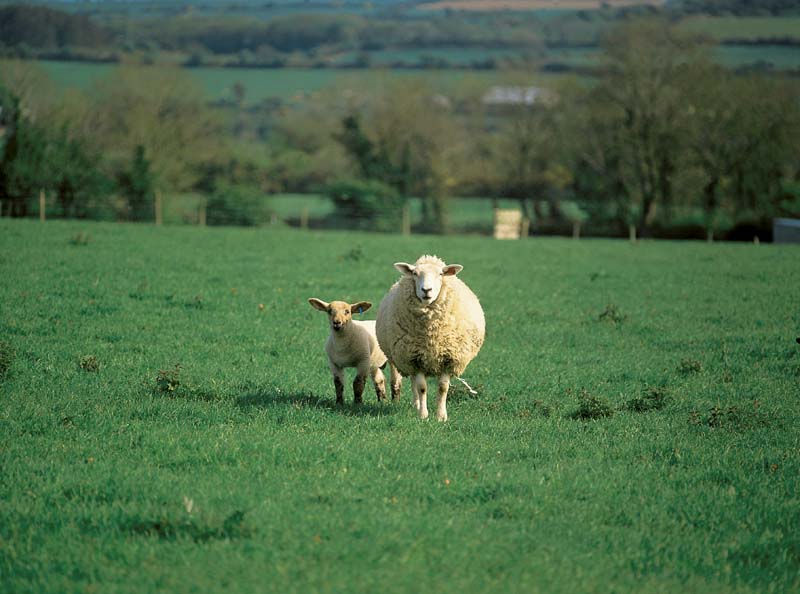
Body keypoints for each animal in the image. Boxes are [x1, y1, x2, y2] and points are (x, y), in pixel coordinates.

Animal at [376, 252, 484, 418]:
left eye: (440, 274)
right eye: (415, 273)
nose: (426, 290)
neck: (431, 332)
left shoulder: (449, 358)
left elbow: (443, 388)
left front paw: (441, 416)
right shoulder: (415, 358)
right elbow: (421, 388)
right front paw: (423, 415)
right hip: (408, 359)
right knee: (414, 382)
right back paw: (416, 405)